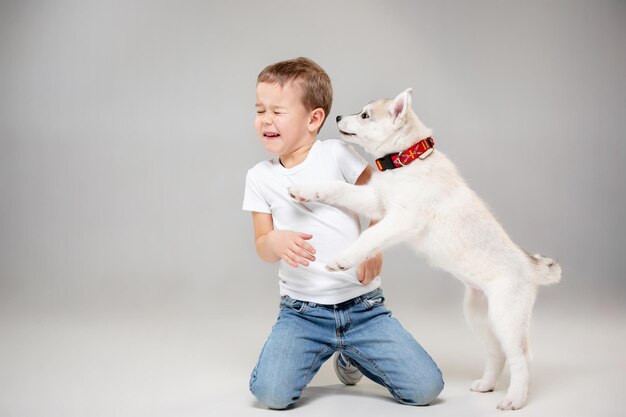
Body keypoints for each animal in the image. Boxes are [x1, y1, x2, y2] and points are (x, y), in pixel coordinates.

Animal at [288, 88, 560, 410]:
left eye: (365, 115)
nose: (339, 116)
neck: (406, 162)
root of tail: (530, 265)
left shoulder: (402, 219)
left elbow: (369, 237)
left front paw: (343, 260)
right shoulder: (375, 202)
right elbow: (336, 188)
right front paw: (305, 190)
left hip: (508, 316)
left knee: (521, 358)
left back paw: (515, 399)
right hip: (479, 314)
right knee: (497, 353)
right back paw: (487, 385)